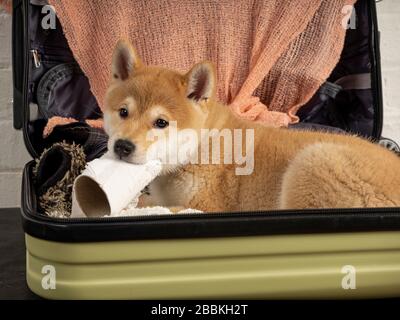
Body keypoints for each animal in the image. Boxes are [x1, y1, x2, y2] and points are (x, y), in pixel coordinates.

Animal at [104, 39, 400, 210]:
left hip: (313, 162)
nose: (122, 147)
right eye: (123, 112)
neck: (201, 146)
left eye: (161, 122)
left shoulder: (205, 208)